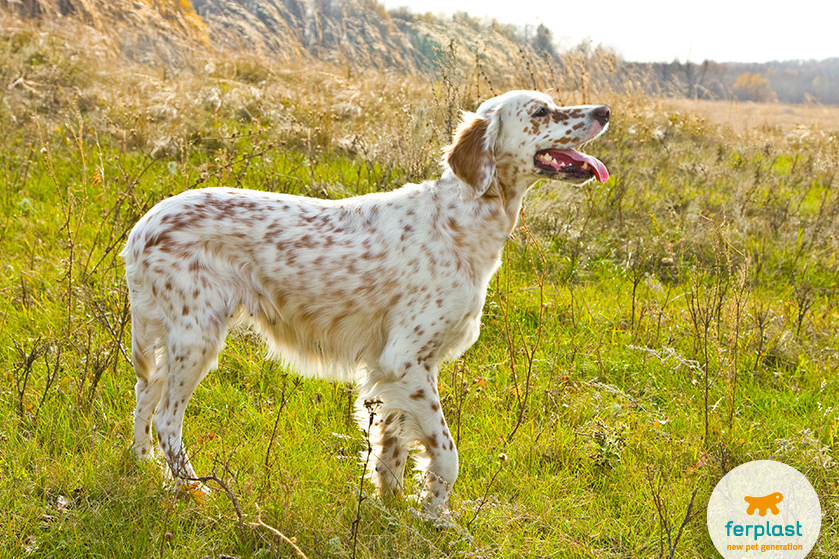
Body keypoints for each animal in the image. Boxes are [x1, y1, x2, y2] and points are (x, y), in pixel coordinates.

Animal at [123, 89, 612, 516]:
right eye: (541, 111)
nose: (605, 111)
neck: (460, 218)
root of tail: (142, 227)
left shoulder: (393, 370)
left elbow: (391, 451)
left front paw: (392, 510)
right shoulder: (406, 361)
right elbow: (446, 454)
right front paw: (435, 517)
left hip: (173, 340)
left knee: (145, 394)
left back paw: (141, 465)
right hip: (198, 337)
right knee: (167, 418)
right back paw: (193, 490)